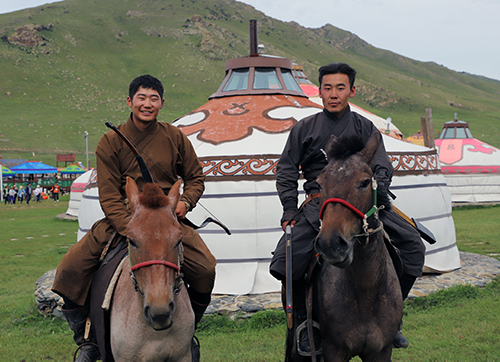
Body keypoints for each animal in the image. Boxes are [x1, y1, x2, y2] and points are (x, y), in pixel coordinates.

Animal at [312, 134, 402, 362]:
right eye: (320, 184)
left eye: (364, 183)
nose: (330, 244)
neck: (366, 293)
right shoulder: (333, 350)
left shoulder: (381, 352)